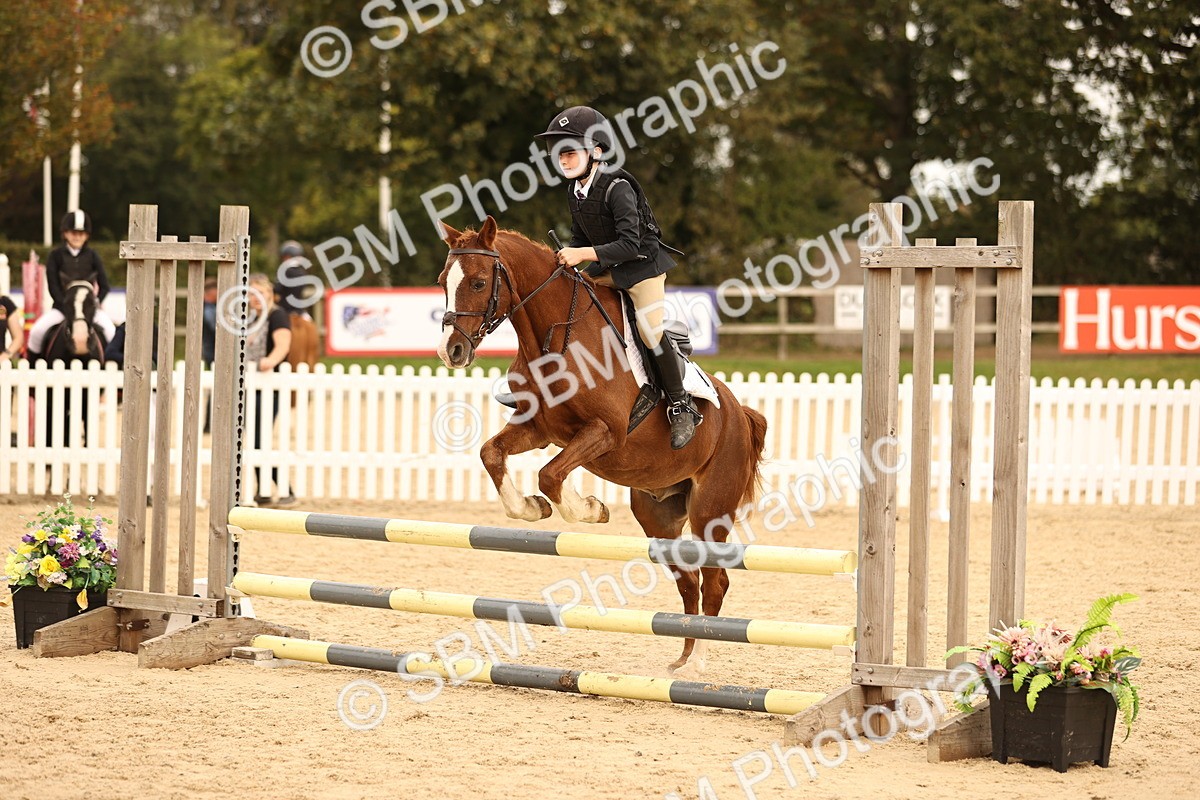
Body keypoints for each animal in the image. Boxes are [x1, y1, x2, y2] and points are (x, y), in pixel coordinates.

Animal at [437, 216, 768, 676]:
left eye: (480, 282)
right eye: (442, 282)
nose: (451, 351)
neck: (556, 334)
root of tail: (739, 413)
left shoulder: (605, 432)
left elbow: (551, 474)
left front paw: (590, 509)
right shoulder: (539, 428)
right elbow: (492, 454)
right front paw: (532, 508)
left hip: (710, 511)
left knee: (715, 580)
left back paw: (697, 663)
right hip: (658, 516)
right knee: (688, 581)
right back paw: (681, 660)